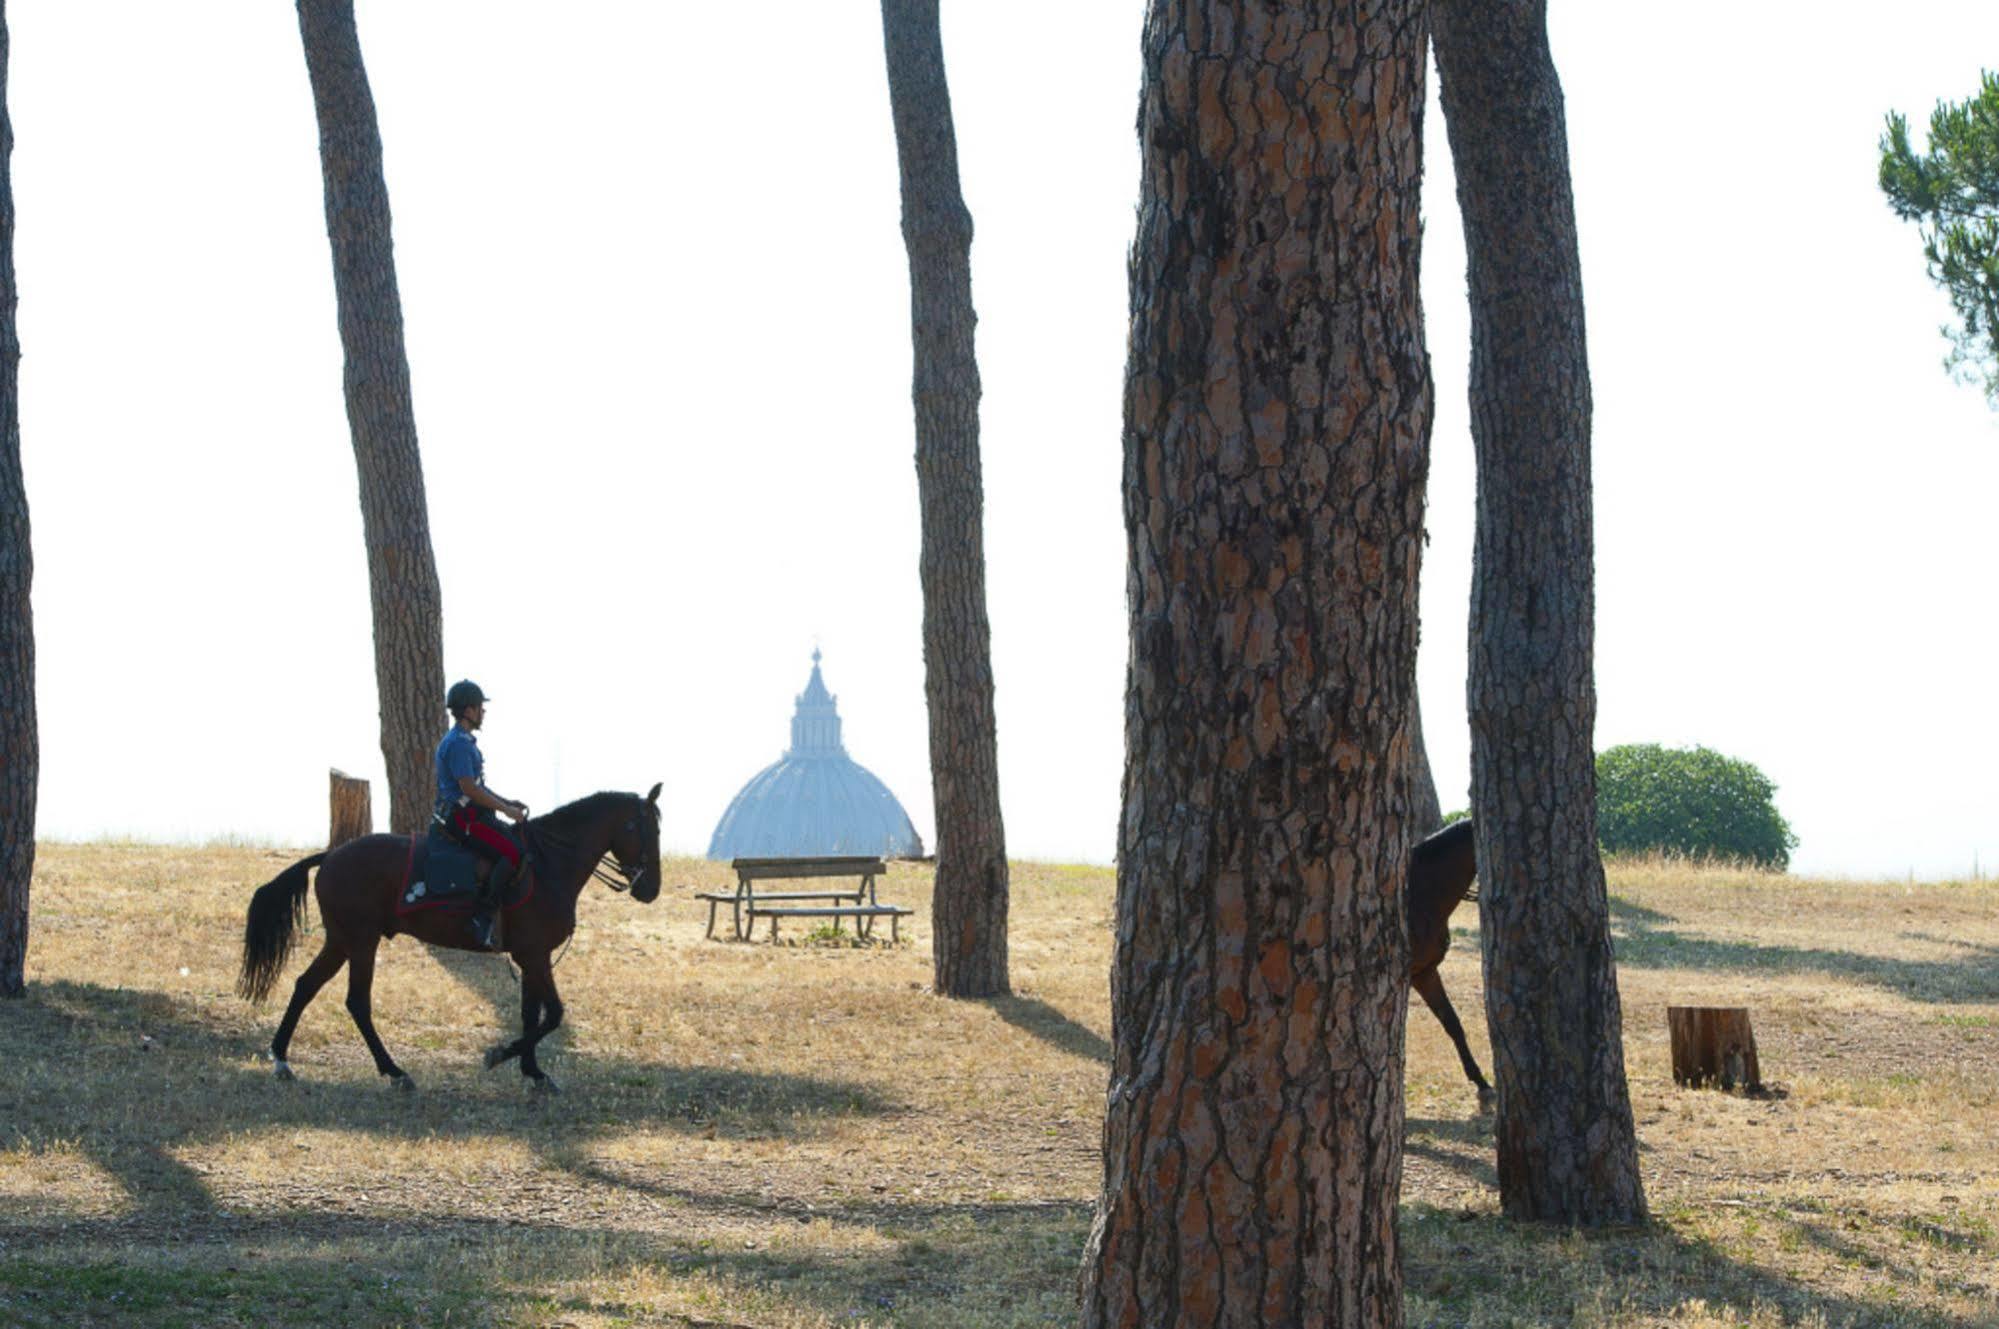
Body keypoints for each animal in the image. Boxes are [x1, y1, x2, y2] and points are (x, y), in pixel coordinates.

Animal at [238, 779, 663, 1087]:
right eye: (647, 829)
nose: (650, 890)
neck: (549, 863)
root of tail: (330, 856)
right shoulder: (535, 956)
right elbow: (554, 1014)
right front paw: (498, 1056)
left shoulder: (530, 957)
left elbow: (531, 1015)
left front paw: (533, 1072)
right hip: (360, 942)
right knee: (356, 1002)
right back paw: (394, 1071)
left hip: (341, 941)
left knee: (306, 985)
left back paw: (282, 1059)